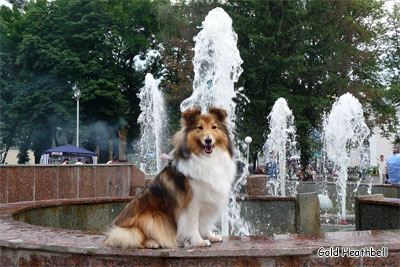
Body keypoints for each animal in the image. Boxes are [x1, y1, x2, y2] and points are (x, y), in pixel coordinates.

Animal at [103, 107, 236, 249]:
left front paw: (210, 236)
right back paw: (152, 243)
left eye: (214, 127)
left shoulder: (207, 201)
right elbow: (193, 224)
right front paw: (198, 241)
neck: (206, 158)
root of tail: (110, 234)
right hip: (151, 217)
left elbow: (204, 223)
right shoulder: (191, 203)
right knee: (136, 237)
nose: (208, 140)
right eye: (199, 128)